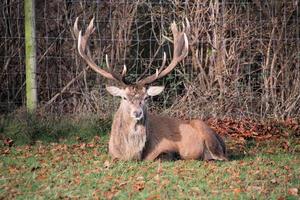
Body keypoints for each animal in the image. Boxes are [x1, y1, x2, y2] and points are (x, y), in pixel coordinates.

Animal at [73, 16, 227, 162]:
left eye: (146, 97)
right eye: (124, 97)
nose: (137, 112)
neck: (132, 155)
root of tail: (222, 141)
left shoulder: (169, 147)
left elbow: (166, 155)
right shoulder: (112, 154)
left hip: (206, 132)